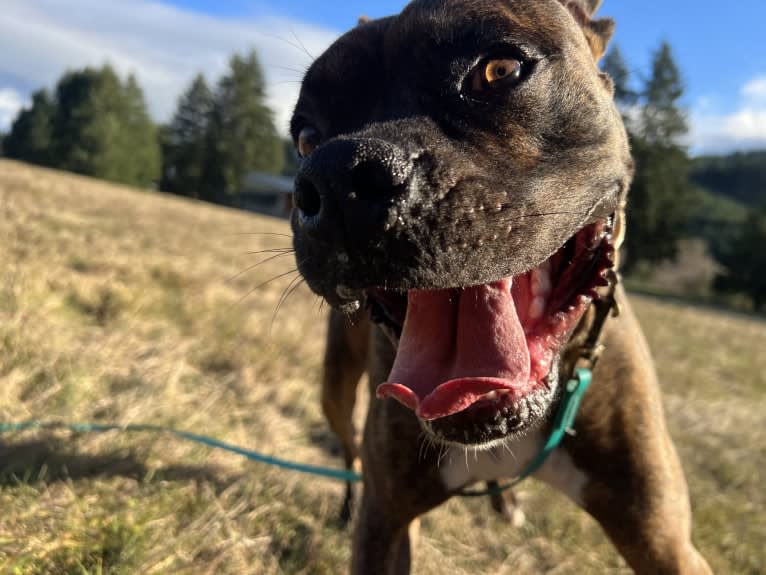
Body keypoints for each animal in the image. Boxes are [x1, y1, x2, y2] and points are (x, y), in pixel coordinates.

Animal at [288, 2, 712, 572]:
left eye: (498, 70)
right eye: (306, 138)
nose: (338, 178)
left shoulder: (665, 542)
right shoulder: (387, 520)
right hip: (334, 385)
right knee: (349, 444)